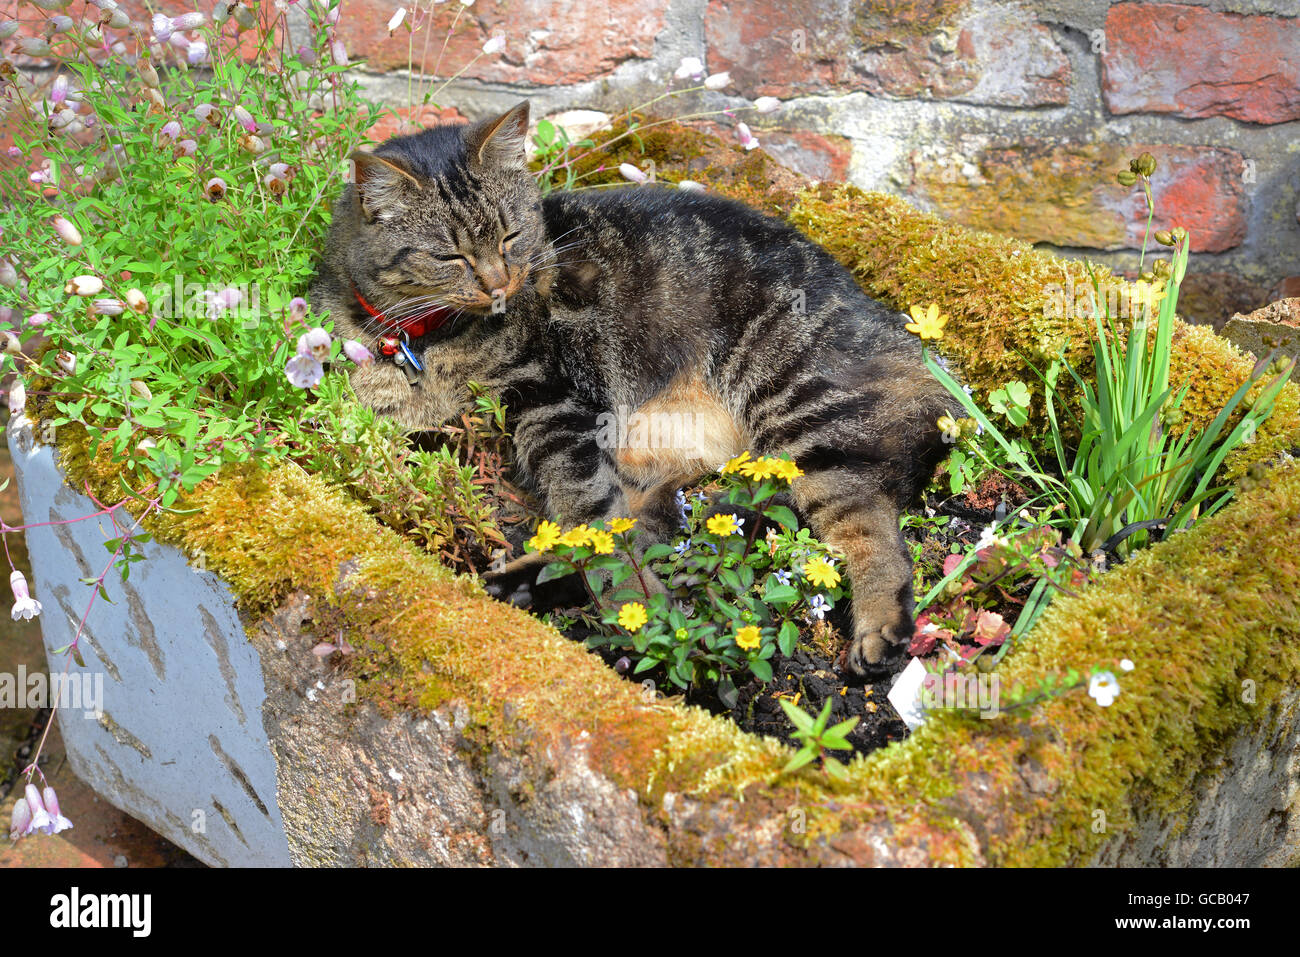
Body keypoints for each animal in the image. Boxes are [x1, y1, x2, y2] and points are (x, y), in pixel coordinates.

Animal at [309, 100, 951, 676]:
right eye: (449, 255)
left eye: (511, 237)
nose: (501, 282)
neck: (425, 340)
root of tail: (901, 337)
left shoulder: (552, 403)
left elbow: (586, 509)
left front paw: (628, 605)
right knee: (658, 525)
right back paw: (534, 585)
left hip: (802, 411)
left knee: (867, 524)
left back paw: (878, 629)